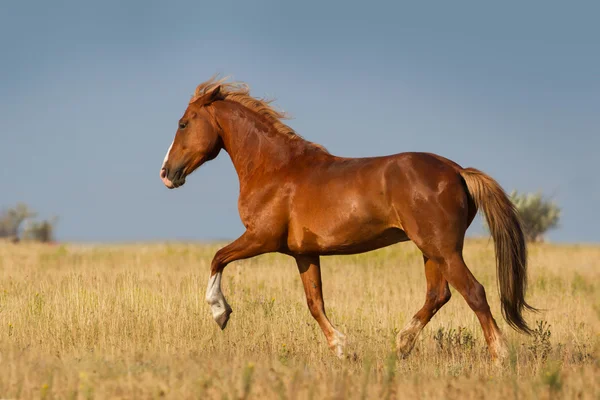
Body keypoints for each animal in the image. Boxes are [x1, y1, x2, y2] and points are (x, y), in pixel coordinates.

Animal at [159, 76, 536, 360]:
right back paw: (401, 346)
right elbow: (314, 303)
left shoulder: (260, 237)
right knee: (438, 295)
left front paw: (220, 313)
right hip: (431, 250)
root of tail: (457, 170)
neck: (276, 169)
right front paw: (341, 348)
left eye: (182, 123)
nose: (166, 174)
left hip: (442, 249)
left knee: (474, 292)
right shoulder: (304, 253)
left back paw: (499, 357)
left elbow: (217, 258)